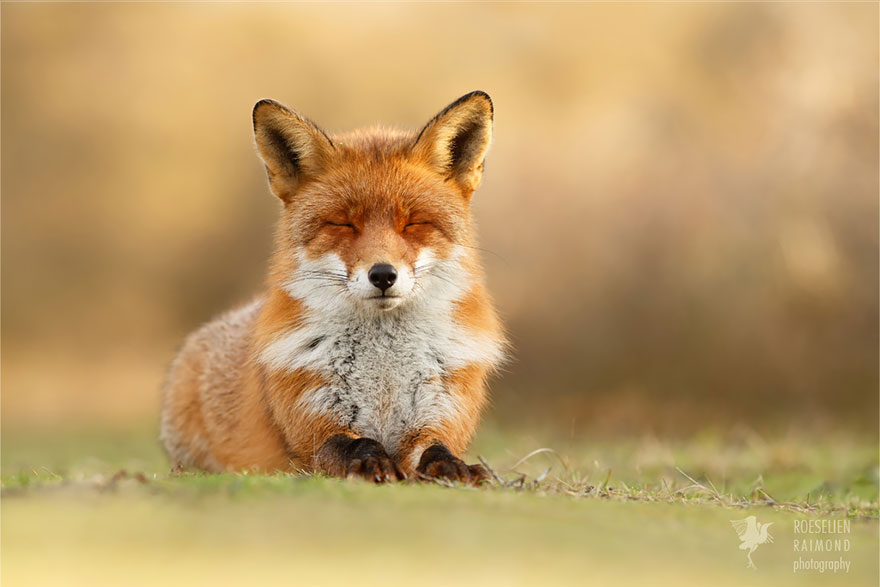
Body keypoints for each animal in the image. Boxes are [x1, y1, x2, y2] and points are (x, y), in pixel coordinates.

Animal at [160, 91, 505, 484]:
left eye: (414, 223)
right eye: (343, 224)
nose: (383, 275)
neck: (384, 375)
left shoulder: (439, 413)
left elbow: (437, 449)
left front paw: (454, 468)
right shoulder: (312, 425)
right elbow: (354, 445)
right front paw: (372, 463)